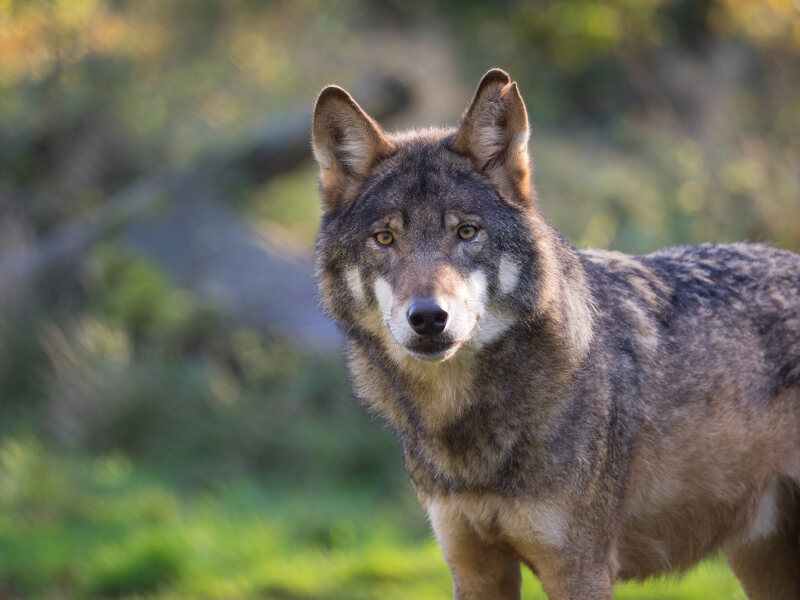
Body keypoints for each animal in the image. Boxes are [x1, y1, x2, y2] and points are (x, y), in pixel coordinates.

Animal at [308, 68, 800, 596]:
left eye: (467, 232)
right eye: (384, 239)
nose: (428, 317)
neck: (471, 426)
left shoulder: (580, 571)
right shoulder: (474, 570)